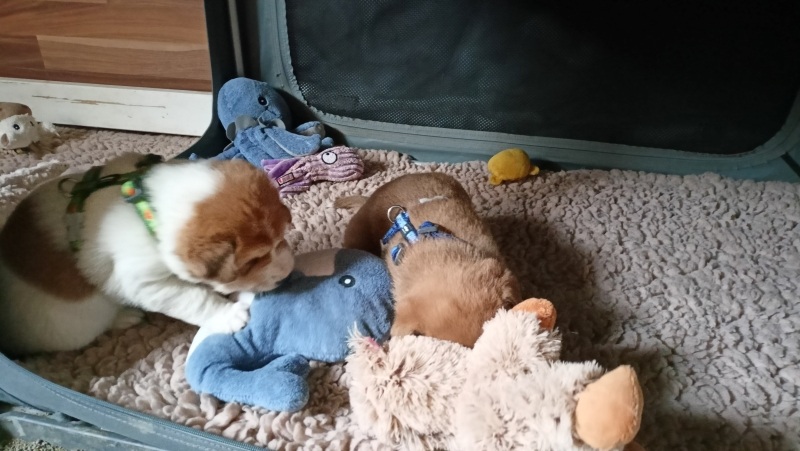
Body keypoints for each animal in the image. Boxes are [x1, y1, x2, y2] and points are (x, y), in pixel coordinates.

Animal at [0, 153, 294, 356]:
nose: (288, 273)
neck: (148, 208)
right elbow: (194, 297)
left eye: (281, 236)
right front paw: (228, 314)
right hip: (79, 324)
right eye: (253, 261)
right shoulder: (145, 282)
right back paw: (125, 316)